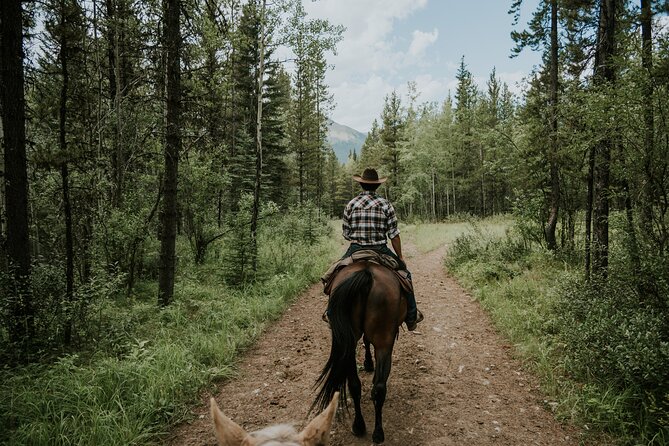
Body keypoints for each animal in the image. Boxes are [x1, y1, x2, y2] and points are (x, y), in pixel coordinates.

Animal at [310, 260, 404, 444]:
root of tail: (366, 273)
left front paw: (368, 363)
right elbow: (367, 341)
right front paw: (368, 363)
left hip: (350, 341)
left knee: (355, 384)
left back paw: (361, 427)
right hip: (383, 341)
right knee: (377, 386)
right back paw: (376, 432)